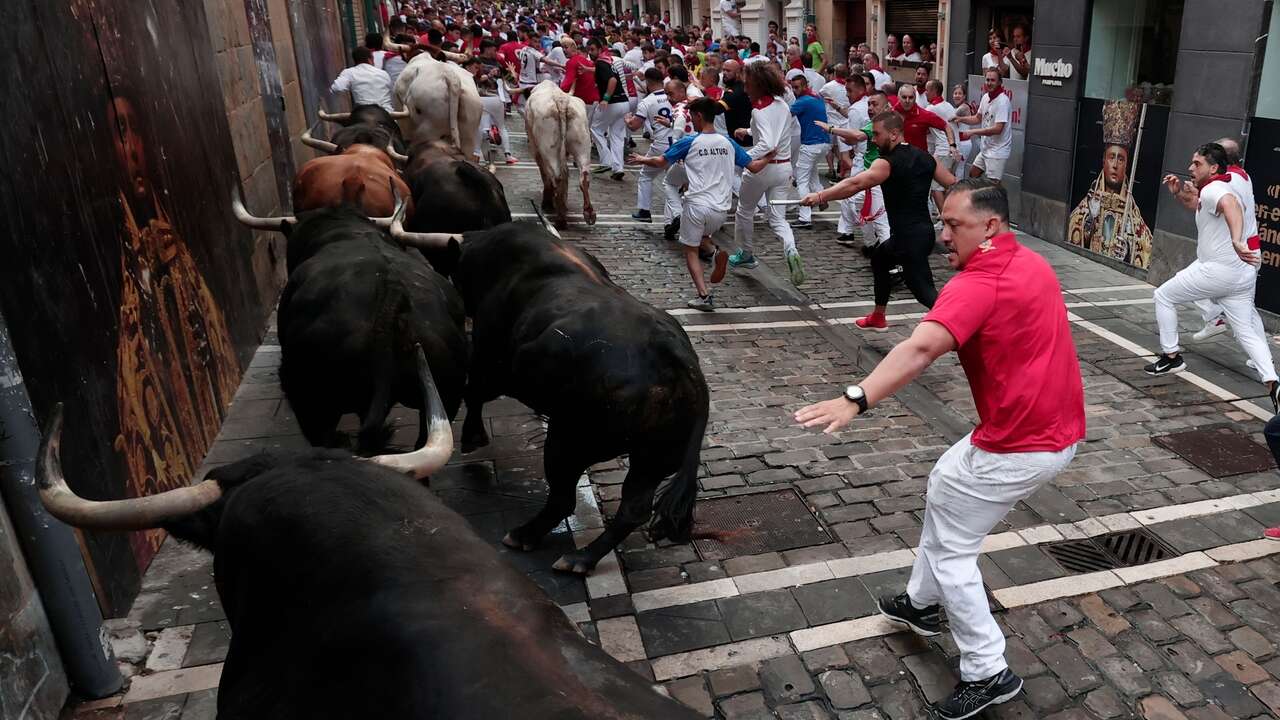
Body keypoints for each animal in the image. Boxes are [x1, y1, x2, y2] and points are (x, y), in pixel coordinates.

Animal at [450, 224, 711, 571]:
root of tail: (675, 356)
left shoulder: (489, 361)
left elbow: (473, 393)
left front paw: (472, 437)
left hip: (569, 440)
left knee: (563, 497)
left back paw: (527, 537)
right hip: (652, 458)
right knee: (633, 508)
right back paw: (582, 557)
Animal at [522, 82, 596, 230]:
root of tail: (561, 101)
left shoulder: (536, 149)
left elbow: (545, 173)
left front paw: (548, 200)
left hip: (548, 148)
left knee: (557, 176)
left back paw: (559, 217)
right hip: (582, 143)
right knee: (583, 177)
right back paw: (588, 213)